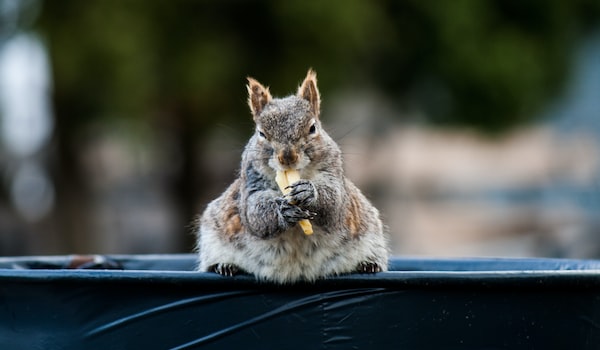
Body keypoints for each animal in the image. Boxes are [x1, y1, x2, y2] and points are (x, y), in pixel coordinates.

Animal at [195, 69, 386, 284]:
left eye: (313, 128)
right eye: (261, 133)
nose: (287, 157)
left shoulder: (334, 175)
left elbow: (334, 203)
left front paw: (309, 192)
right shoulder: (251, 185)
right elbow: (254, 211)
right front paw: (282, 211)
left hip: (372, 234)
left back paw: (369, 264)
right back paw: (224, 265)